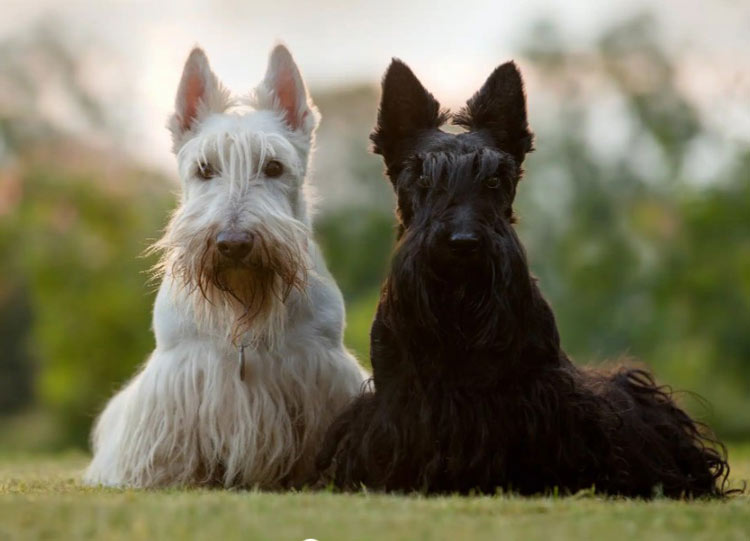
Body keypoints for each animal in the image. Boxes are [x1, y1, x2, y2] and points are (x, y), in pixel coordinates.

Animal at [85, 44, 368, 488]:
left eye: (273, 167)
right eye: (205, 169)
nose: (233, 243)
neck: (243, 304)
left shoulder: (323, 369)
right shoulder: (179, 371)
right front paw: (163, 474)